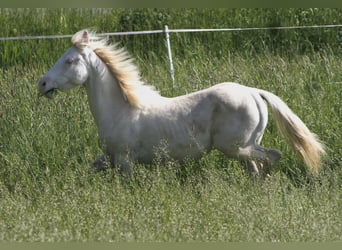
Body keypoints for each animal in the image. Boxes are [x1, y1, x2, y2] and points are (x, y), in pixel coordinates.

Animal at [37, 29, 326, 177]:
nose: (42, 84)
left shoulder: (124, 160)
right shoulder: (108, 157)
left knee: (271, 157)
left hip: (235, 147)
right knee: (256, 167)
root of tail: (254, 92)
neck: (121, 111)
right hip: (244, 147)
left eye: (70, 61)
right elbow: (89, 169)